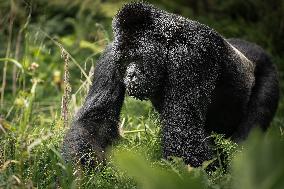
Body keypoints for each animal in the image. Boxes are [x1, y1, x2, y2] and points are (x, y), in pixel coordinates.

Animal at [62, 2, 280, 168]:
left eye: (137, 58)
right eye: (124, 61)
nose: (130, 75)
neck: (168, 43)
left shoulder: (192, 53)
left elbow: (182, 133)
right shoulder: (111, 53)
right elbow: (95, 122)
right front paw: (77, 175)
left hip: (268, 69)